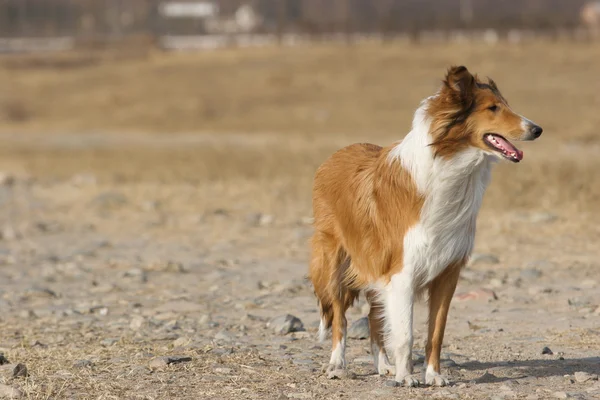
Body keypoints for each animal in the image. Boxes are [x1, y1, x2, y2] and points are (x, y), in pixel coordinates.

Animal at [310, 66, 544, 388]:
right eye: (493, 108)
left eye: (504, 105)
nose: (537, 129)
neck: (449, 166)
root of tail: (335, 155)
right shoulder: (402, 273)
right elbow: (405, 334)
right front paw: (406, 377)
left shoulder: (447, 273)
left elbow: (436, 333)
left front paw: (432, 375)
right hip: (336, 263)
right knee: (340, 318)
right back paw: (337, 364)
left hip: (374, 265)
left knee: (373, 318)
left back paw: (383, 365)